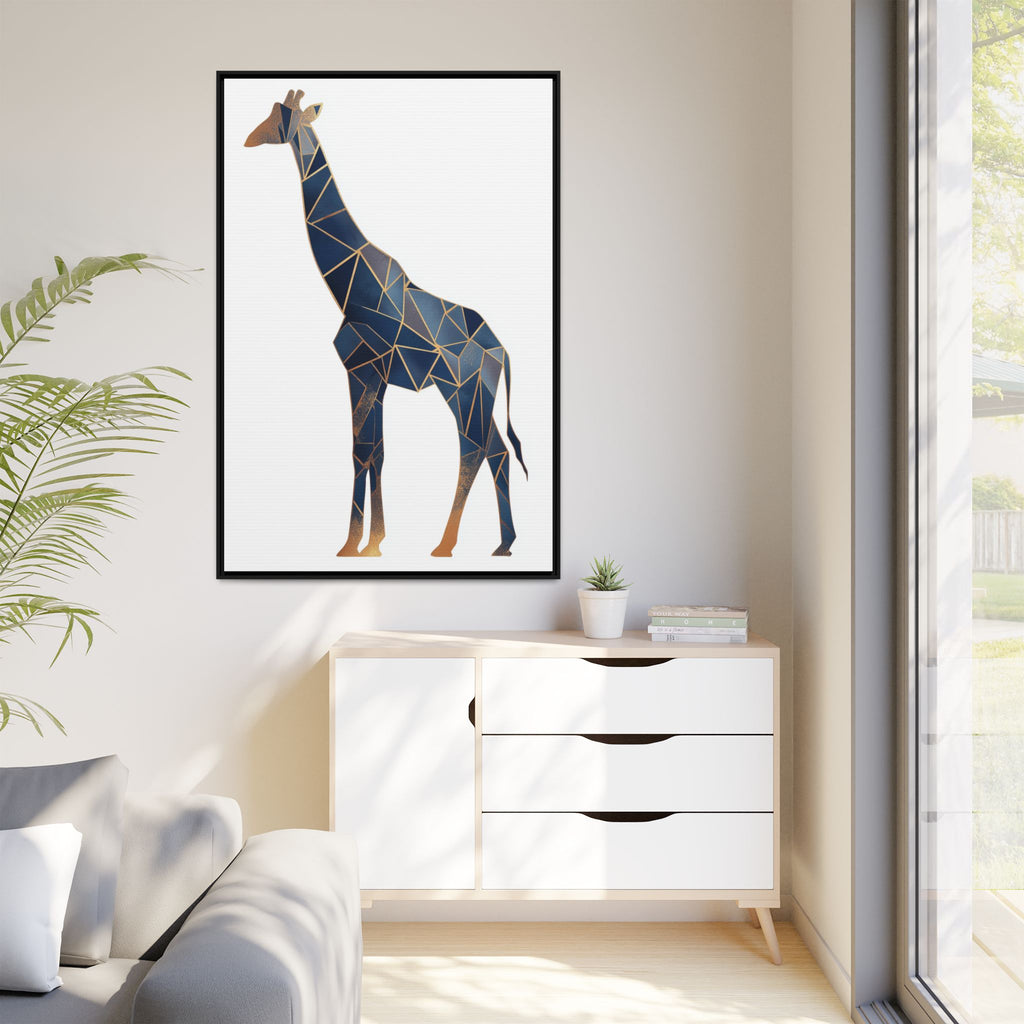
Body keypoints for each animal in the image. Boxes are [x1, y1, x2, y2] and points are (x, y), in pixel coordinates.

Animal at [245, 89, 527, 558]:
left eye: (281, 117)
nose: (249, 138)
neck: (349, 285)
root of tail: (501, 351)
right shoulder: (373, 377)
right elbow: (375, 451)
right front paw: (370, 542)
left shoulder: (362, 370)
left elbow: (362, 452)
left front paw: (355, 544)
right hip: (475, 394)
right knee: (496, 451)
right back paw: (502, 544)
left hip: (462, 390)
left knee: (474, 449)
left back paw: (446, 545)